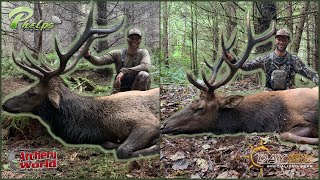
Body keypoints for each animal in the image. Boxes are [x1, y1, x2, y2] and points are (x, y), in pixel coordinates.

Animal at [3, 8, 160, 159]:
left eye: (33, 92)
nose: (5, 104)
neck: (94, 126)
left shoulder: (147, 122)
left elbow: (122, 150)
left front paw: (154, 144)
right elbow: (109, 144)